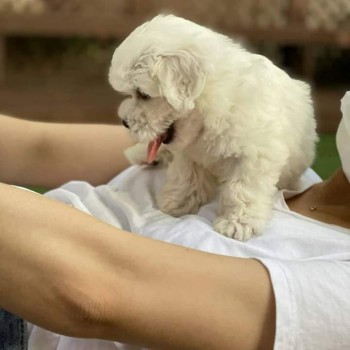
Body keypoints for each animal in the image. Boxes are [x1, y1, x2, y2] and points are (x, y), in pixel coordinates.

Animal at [109, 15, 318, 242]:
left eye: (143, 94)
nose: (124, 122)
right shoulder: (188, 152)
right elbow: (187, 176)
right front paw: (177, 202)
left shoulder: (255, 154)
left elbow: (242, 189)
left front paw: (237, 223)